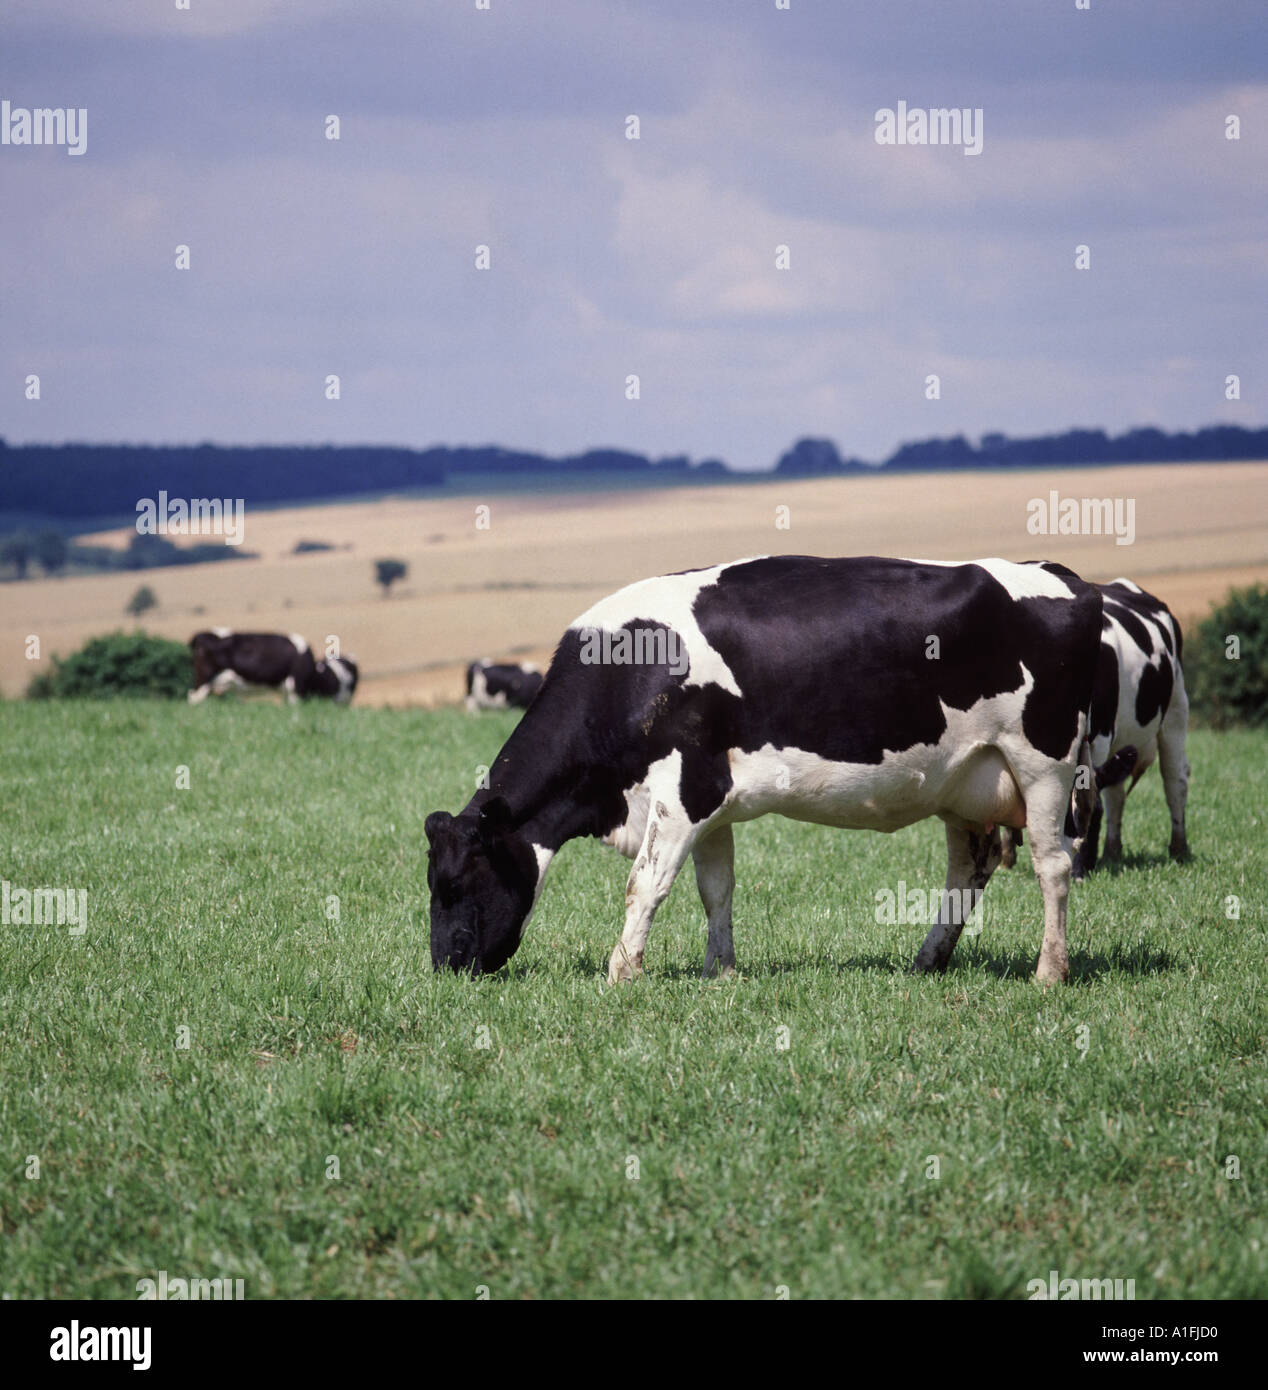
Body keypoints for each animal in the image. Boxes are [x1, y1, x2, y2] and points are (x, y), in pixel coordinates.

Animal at [188, 630, 358, 705]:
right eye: (335, 682)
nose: (343, 700)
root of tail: (201, 635)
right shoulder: (295, 688)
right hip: (204, 678)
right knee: (194, 697)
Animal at [426, 555, 1106, 986]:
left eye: (453, 884)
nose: (445, 969)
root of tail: (1064, 577)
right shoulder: (711, 802)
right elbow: (715, 887)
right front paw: (721, 972)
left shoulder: (685, 789)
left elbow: (646, 884)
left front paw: (621, 972)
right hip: (966, 781)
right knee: (967, 871)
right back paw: (927, 962)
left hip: (1042, 764)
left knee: (1052, 865)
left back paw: (1049, 973)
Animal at [999, 578, 1189, 877]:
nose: (1076, 871)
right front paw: (1006, 857)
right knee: (1117, 793)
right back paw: (1112, 851)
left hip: (1175, 709)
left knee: (1174, 780)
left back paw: (1179, 849)